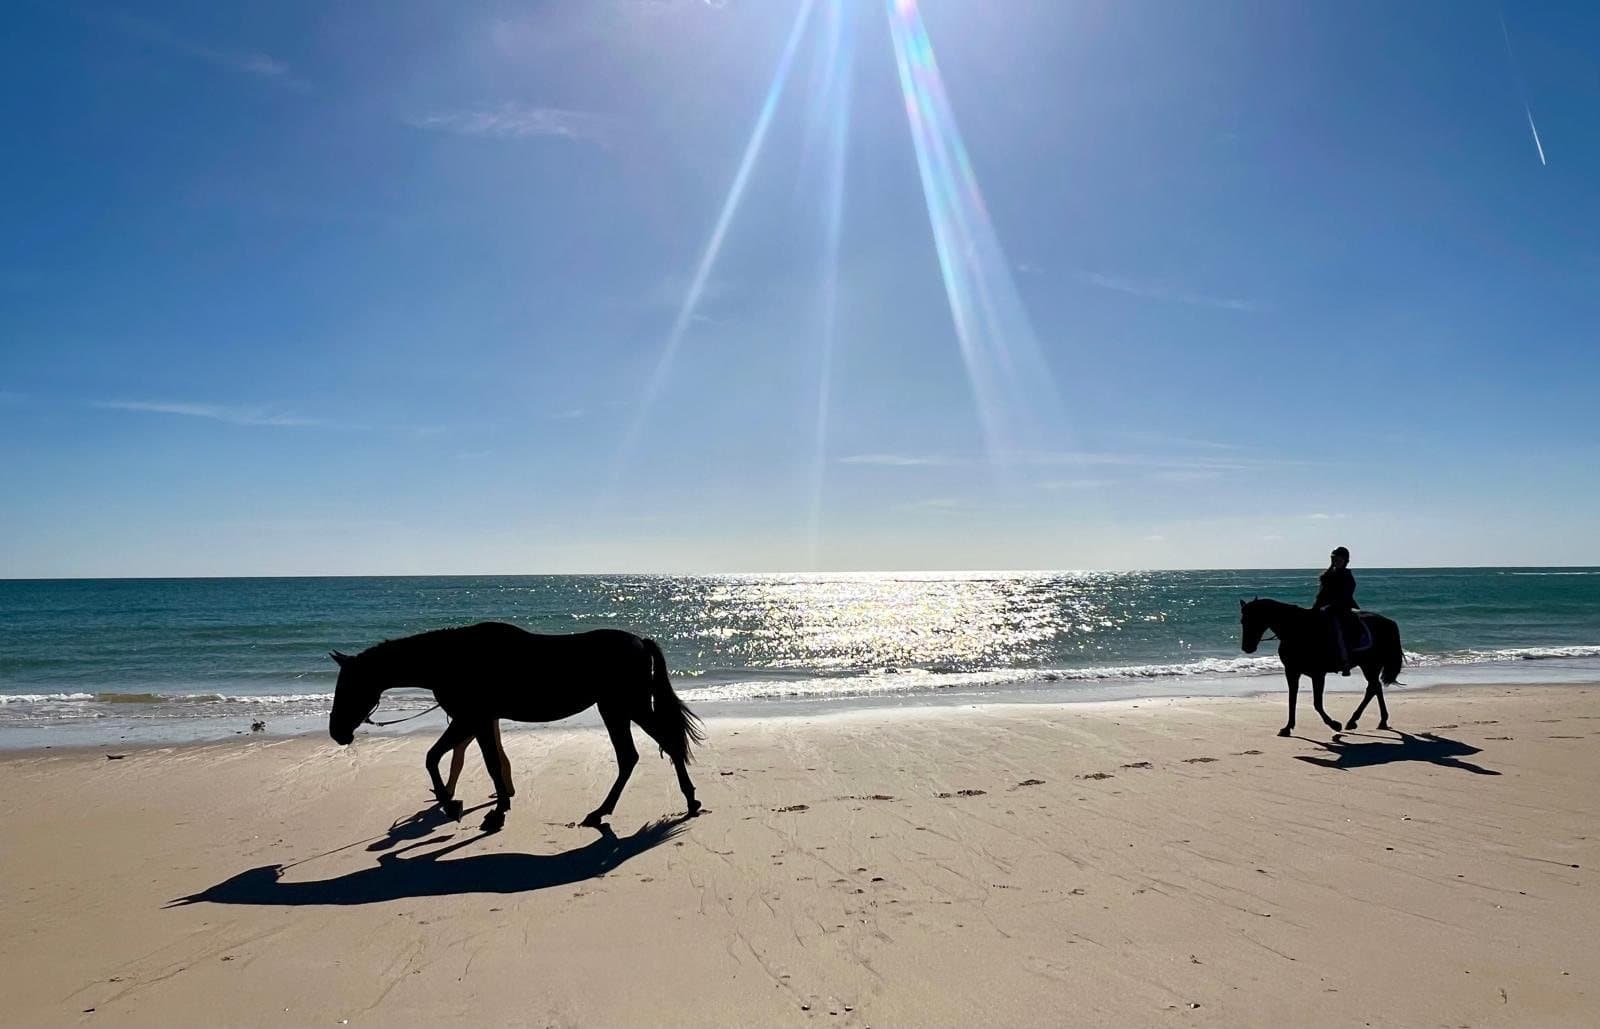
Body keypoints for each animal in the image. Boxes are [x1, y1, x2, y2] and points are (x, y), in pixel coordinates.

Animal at [328, 623, 704, 833]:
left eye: (348, 686)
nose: (337, 732)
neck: (452, 659)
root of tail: (641, 642)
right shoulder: (475, 721)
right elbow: (452, 759)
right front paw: (467, 805)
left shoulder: (471, 719)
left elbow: (460, 761)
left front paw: (475, 810)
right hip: (618, 709)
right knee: (638, 754)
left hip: (624, 707)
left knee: (652, 748)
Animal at [1238, 598, 1404, 738]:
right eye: (1242, 621)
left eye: (1254, 619)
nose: (1247, 647)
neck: (1297, 631)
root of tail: (1388, 622)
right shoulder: (1292, 672)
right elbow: (1292, 699)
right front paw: (1287, 727)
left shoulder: (1318, 674)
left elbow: (1317, 703)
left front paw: (1334, 725)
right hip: (1369, 665)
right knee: (1375, 687)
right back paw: (1376, 721)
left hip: (1370, 665)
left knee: (1373, 687)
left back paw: (1358, 721)